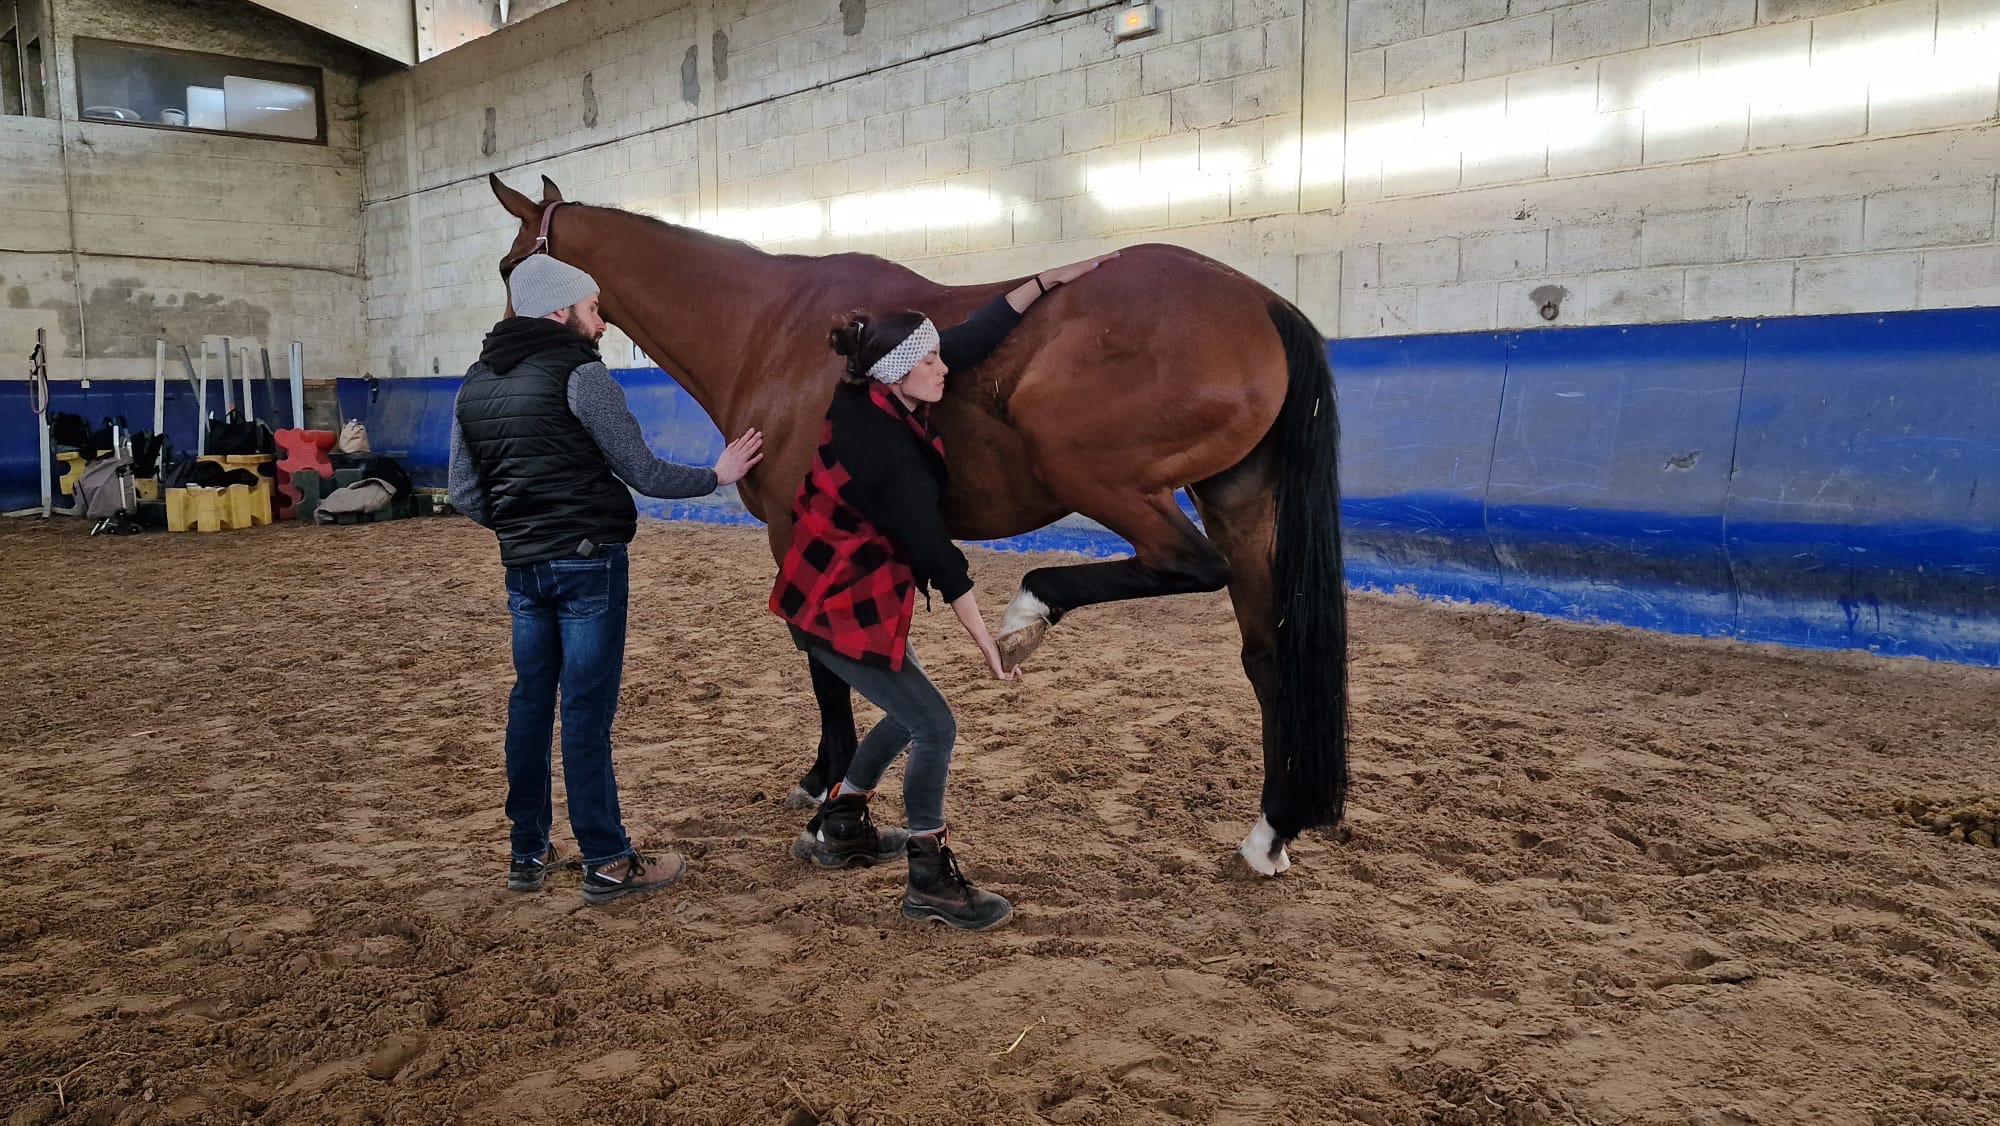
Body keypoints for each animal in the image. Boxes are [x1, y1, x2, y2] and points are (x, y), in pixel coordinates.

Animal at [492, 174, 1352, 872]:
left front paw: (828, 787)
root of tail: (1261, 302)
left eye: (506, 268)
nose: (495, 354)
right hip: (1238, 502)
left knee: (1186, 566)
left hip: (1093, 471)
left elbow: (821, 656)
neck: (774, 328)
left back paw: (1027, 615)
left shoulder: (792, 529)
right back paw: (1269, 834)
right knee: (1269, 657)